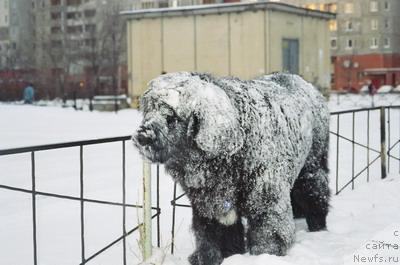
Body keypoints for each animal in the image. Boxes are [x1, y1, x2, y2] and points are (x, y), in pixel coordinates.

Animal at [133, 71, 330, 264]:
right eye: (149, 110)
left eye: (171, 116)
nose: (141, 137)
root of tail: (305, 82)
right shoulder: (210, 206)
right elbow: (213, 237)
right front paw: (211, 257)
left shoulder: (267, 202)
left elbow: (268, 237)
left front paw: (265, 256)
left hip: (311, 168)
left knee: (316, 194)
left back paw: (317, 225)